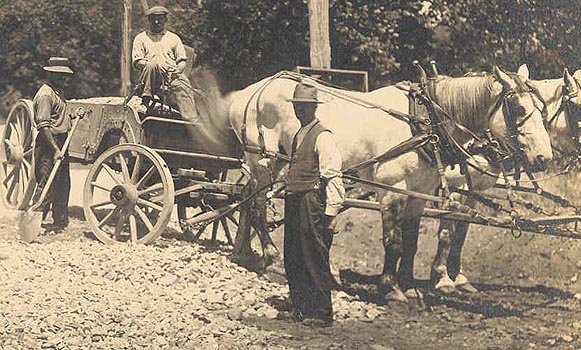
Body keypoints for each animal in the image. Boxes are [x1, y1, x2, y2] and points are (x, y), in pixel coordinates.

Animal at [223, 66, 552, 300]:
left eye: (543, 109)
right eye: (519, 109)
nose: (544, 157)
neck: (423, 122)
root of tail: (250, 92)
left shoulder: (420, 193)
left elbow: (412, 241)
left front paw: (409, 285)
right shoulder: (393, 191)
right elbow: (393, 241)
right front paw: (391, 288)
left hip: (278, 163)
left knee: (248, 196)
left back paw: (247, 253)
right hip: (261, 159)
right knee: (257, 203)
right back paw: (270, 257)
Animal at [430, 64, 580, 294]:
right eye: (575, 106)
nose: (544, 157)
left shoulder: (473, 189)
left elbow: (461, 231)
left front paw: (459, 277)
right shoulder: (454, 186)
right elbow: (447, 230)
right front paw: (443, 277)